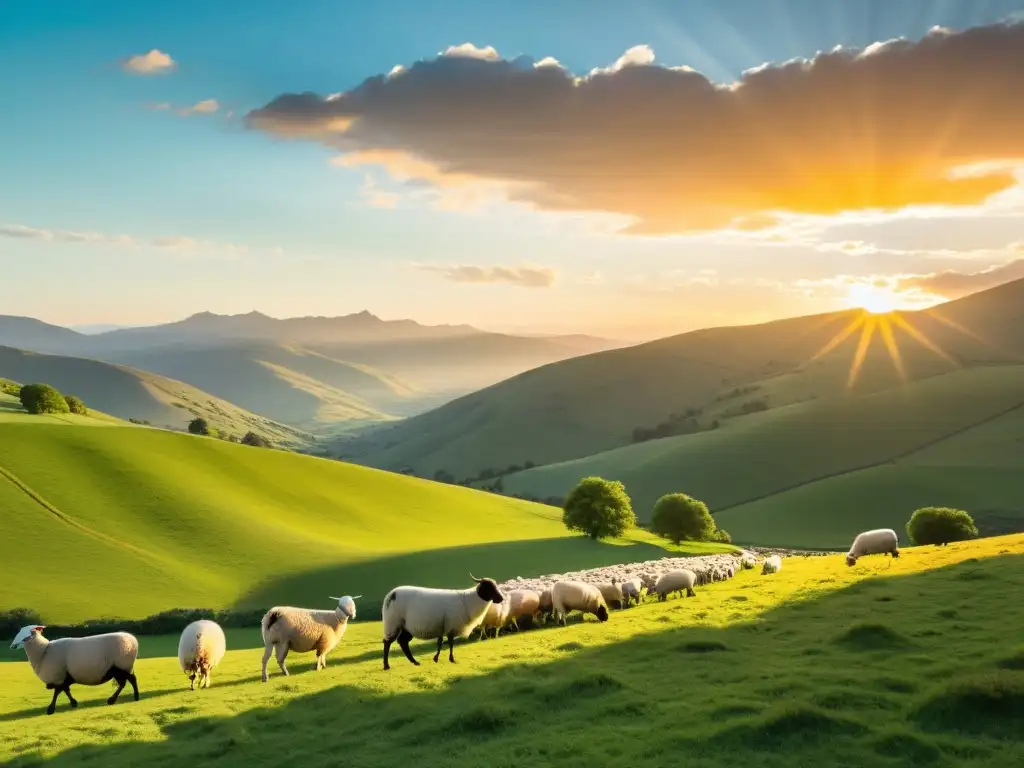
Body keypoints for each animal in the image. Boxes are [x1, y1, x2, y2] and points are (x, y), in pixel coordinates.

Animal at [9, 626, 139, 716]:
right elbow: (66, 690)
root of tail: (133, 639)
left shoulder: (58, 675)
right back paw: (116, 699)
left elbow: (57, 692)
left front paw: (50, 709)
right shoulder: (64, 675)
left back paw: (131, 697)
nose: (13, 646)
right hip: (118, 668)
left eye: (26, 637)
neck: (44, 652)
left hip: (121, 666)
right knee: (125, 682)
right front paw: (73, 703)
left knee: (130, 680)